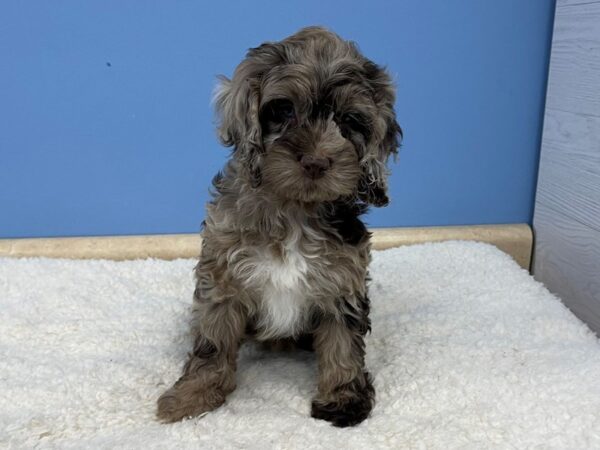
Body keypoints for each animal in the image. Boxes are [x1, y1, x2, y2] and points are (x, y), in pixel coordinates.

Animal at [157, 26, 400, 428]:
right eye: (284, 109)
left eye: (349, 120)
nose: (316, 162)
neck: (293, 210)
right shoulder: (222, 273)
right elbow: (213, 341)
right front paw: (192, 396)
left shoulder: (343, 282)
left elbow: (342, 344)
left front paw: (342, 398)